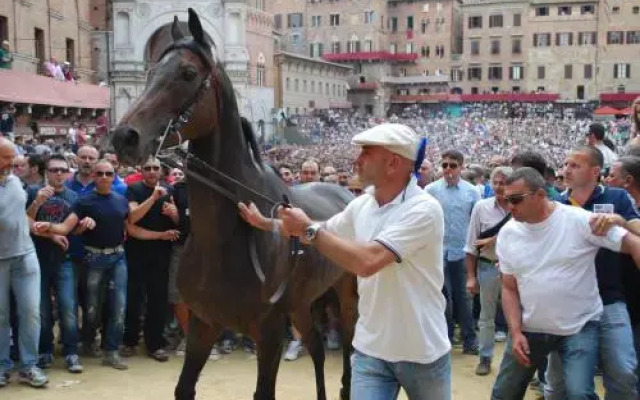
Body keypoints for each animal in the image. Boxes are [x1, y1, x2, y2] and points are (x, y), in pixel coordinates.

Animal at [112, 7, 358, 400]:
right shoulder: (204, 324)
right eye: (150, 72)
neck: (224, 239)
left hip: (347, 294)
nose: (125, 137)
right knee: (318, 349)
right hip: (302, 304)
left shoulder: (269, 333)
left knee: (349, 348)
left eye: (187, 73)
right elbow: (184, 387)